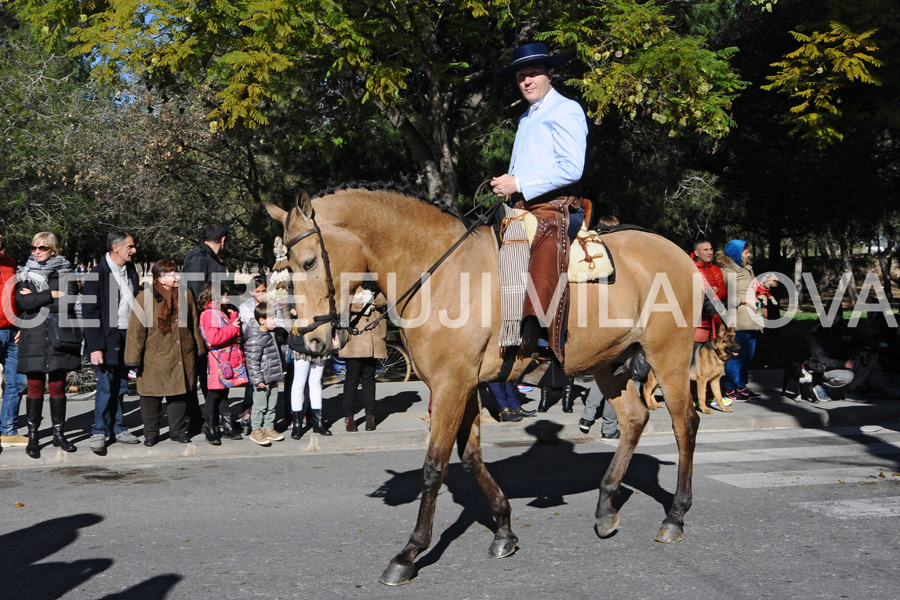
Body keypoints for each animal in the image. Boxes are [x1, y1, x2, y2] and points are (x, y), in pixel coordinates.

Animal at [268, 184, 704, 584]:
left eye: (308, 261)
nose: (306, 341)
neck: (438, 273)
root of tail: (680, 254)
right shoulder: (464, 386)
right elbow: (471, 458)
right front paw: (504, 530)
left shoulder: (450, 385)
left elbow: (434, 466)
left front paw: (409, 553)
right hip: (607, 364)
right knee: (634, 419)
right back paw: (606, 508)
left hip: (668, 355)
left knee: (685, 425)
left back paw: (675, 516)